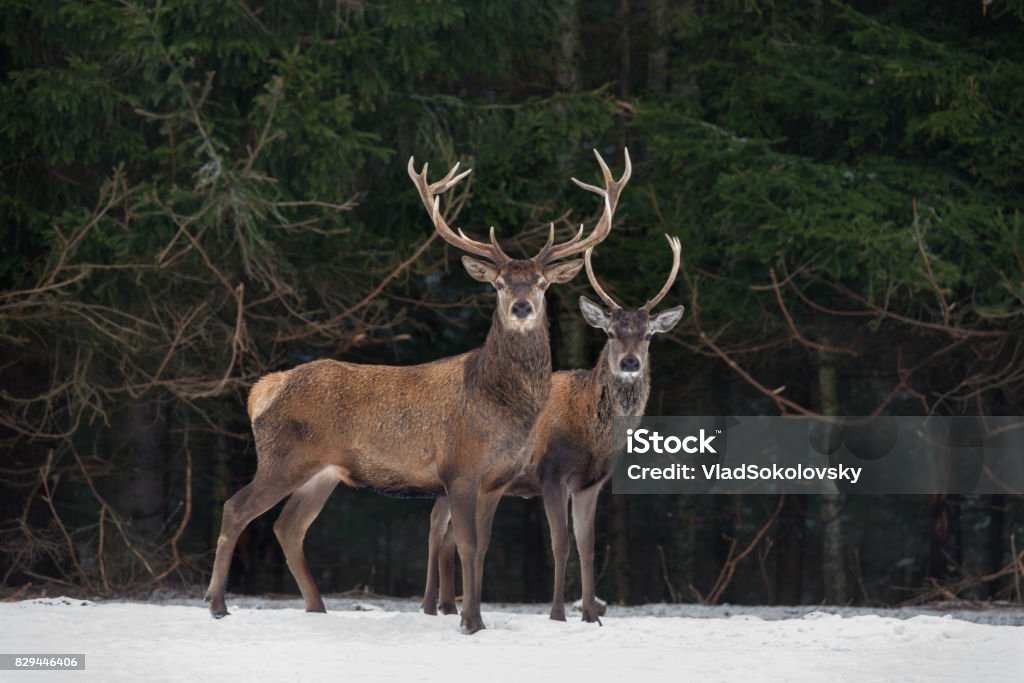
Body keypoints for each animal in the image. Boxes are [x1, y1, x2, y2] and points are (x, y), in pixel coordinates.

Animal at [201, 150, 630, 634]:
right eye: (498, 283)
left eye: (542, 283)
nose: (522, 307)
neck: (499, 403)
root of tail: (263, 390)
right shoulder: (459, 470)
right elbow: (465, 546)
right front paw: (469, 622)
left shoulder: (495, 481)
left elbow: (481, 549)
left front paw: (474, 618)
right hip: (283, 456)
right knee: (236, 508)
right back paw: (217, 604)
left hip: (322, 472)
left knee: (288, 527)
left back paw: (317, 607)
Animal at [419, 233, 684, 626]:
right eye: (609, 333)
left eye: (648, 336)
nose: (630, 363)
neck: (592, 436)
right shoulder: (551, 474)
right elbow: (561, 543)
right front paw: (558, 613)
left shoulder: (591, 484)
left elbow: (587, 546)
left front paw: (591, 615)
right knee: (436, 526)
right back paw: (428, 605)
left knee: (450, 534)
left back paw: (450, 606)